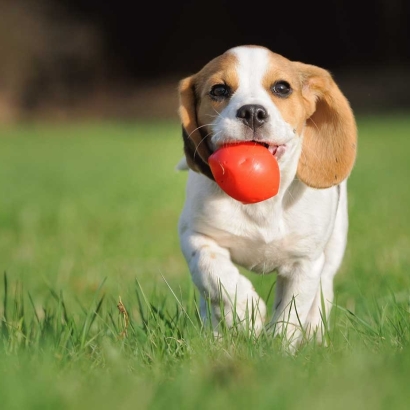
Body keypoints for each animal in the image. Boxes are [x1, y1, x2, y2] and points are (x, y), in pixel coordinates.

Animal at [176, 44, 356, 346]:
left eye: (282, 88)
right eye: (219, 90)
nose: (252, 112)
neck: (262, 204)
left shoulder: (304, 262)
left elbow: (290, 313)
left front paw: (279, 348)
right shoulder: (196, 236)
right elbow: (214, 274)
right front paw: (244, 313)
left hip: (332, 250)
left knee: (321, 294)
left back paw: (315, 336)